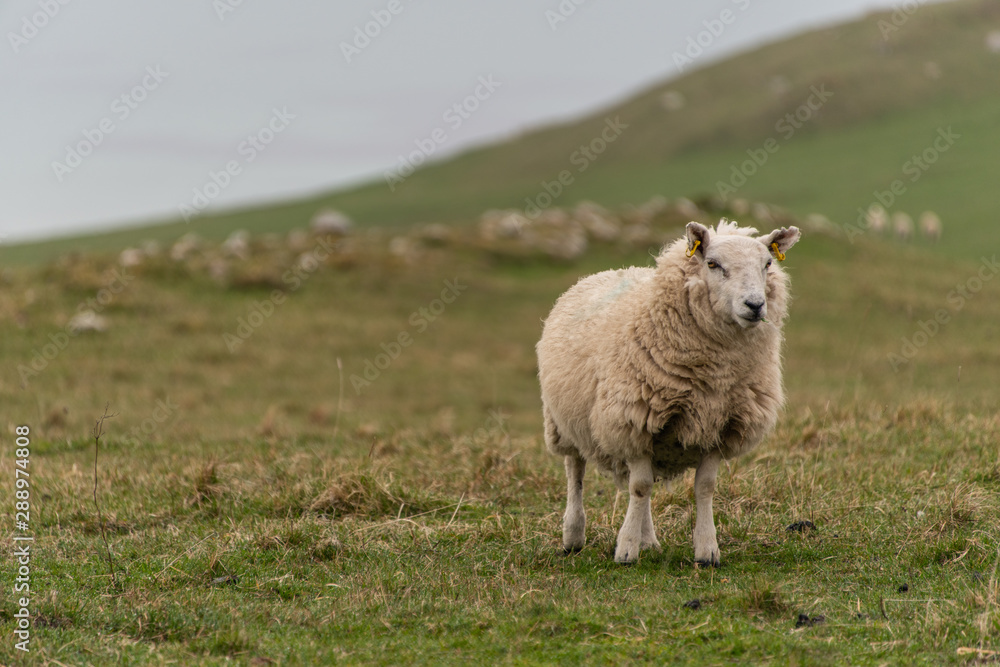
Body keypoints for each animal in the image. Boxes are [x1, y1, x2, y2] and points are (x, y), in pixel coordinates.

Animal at [537, 219, 800, 566]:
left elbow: (704, 487)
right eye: (712, 264)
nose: (755, 305)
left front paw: (707, 550)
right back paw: (573, 536)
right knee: (575, 472)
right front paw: (626, 550)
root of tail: (609, 272)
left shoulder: (720, 425)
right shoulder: (633, 420)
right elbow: (639, 487)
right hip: (563, 422)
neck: (716, 373)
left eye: (768, 263)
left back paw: (648, 540)